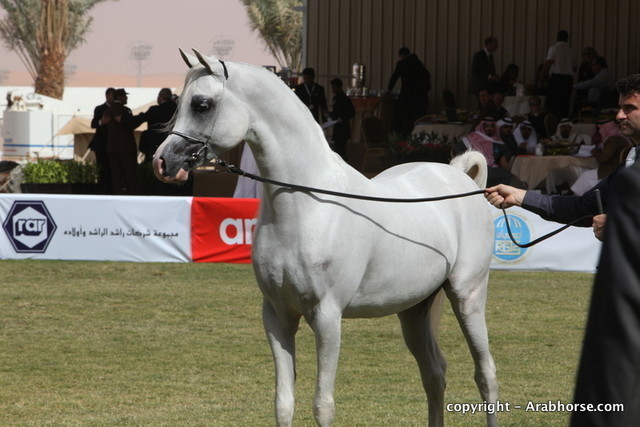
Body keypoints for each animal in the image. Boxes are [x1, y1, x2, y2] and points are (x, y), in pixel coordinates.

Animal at [153, 49, 498, 427]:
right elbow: (283, 403)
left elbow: (322, 404)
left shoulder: (327, 317)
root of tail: (461, 178)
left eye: (202, 104)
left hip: (468, 296)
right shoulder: (277, 316)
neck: (309, 207)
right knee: (434, 374)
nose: (162, 162)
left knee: (485, 375)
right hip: (414, 310)